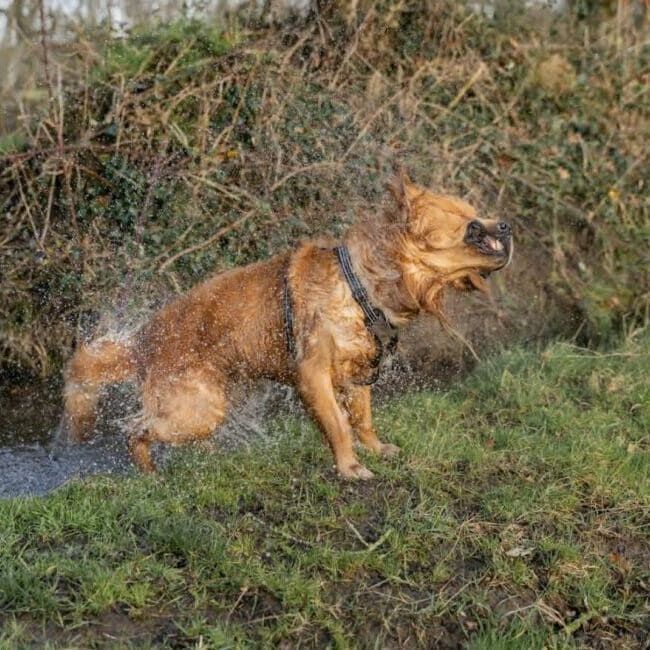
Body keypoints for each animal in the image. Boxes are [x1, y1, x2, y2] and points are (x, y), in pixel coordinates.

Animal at [60, 171, 512, 476]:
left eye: (479, 215)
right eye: (472, 227)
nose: (506, 224)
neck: (360, 285)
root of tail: (142, 340)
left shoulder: (358, 373)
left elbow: (363, 419)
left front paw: (376, 449)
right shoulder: (312, 376)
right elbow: (338, 426)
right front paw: (350, 468)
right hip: (200, 408)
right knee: (135, 429)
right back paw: (151, 474)